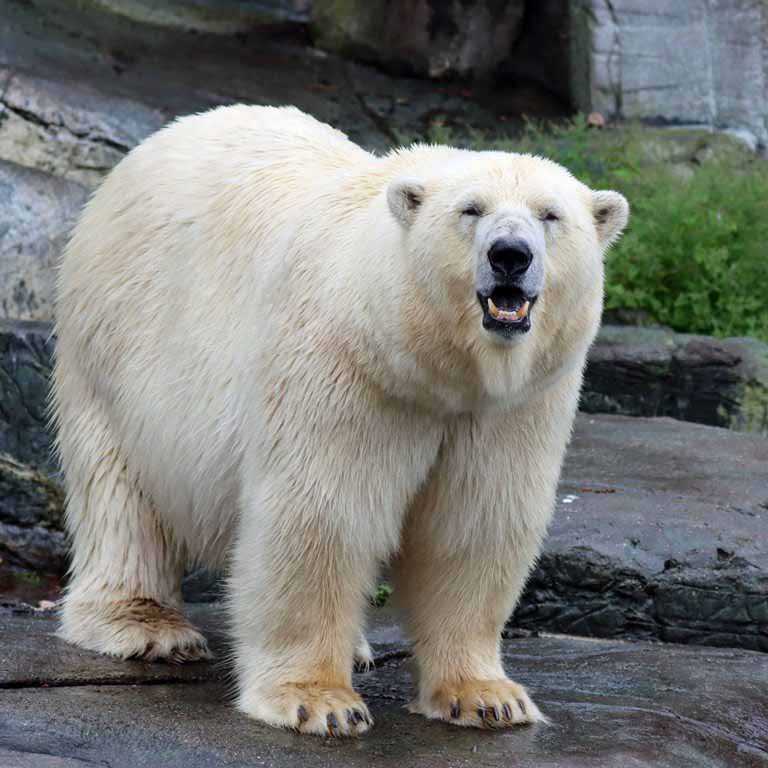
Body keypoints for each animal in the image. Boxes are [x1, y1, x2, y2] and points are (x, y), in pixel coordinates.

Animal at [52, 105, 628, 737]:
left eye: (551, 215)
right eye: (470, 210)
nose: (509, 255)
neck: (421, 360)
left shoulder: (512, 405)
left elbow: (475, 520)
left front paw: (488, 697)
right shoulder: (343, 367)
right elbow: (323, 511)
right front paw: (317, 701)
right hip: (115, 339)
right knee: (120, 490)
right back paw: (146, 626)